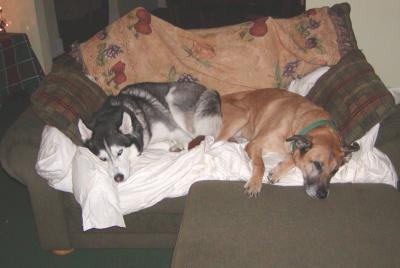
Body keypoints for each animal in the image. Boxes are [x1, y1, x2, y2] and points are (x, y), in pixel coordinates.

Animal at [77, 81, 222, 182]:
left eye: (120, 152)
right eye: (102, 159)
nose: (118, 178)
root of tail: (209, 90)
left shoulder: (175, 129)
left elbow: (189, 142)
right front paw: (173, 145)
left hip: (172, 97)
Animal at [219, 88, 360, 199]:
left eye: (335, 170)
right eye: (317, 164)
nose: (322, 195)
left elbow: (295, 157)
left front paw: (277, 172)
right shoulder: (254, 144)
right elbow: (261, 165)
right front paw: (255, 183)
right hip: (242, 115)